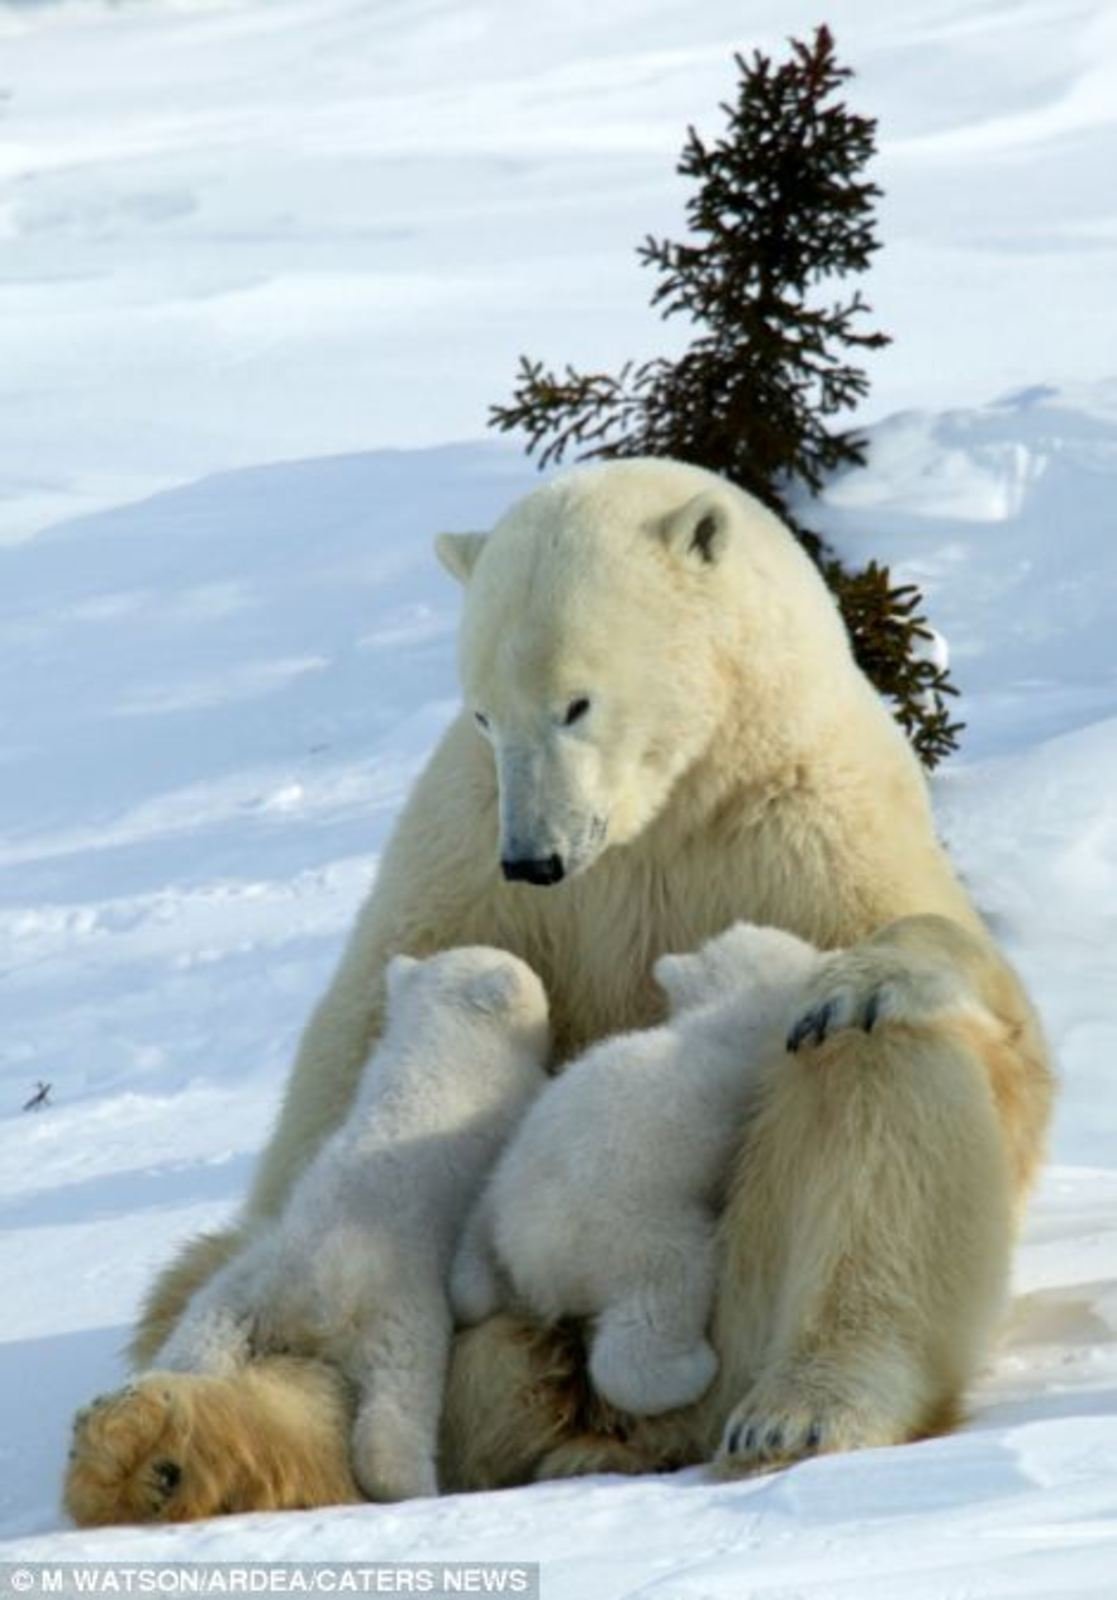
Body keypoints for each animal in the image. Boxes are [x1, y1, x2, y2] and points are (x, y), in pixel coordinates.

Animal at [67, 457, 1043, 1516]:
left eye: (576, 702)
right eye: (483, 710)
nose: (535, 857)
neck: (658, 817)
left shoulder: (801, 814)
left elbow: (975, 1022)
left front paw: (868, 973)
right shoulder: (466, 849)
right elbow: (346, 1065)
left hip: (731, 1309)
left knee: (876, 1085)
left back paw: (803, 1408)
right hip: (465, 1350)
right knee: (235, 1301)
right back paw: (159, 1443)